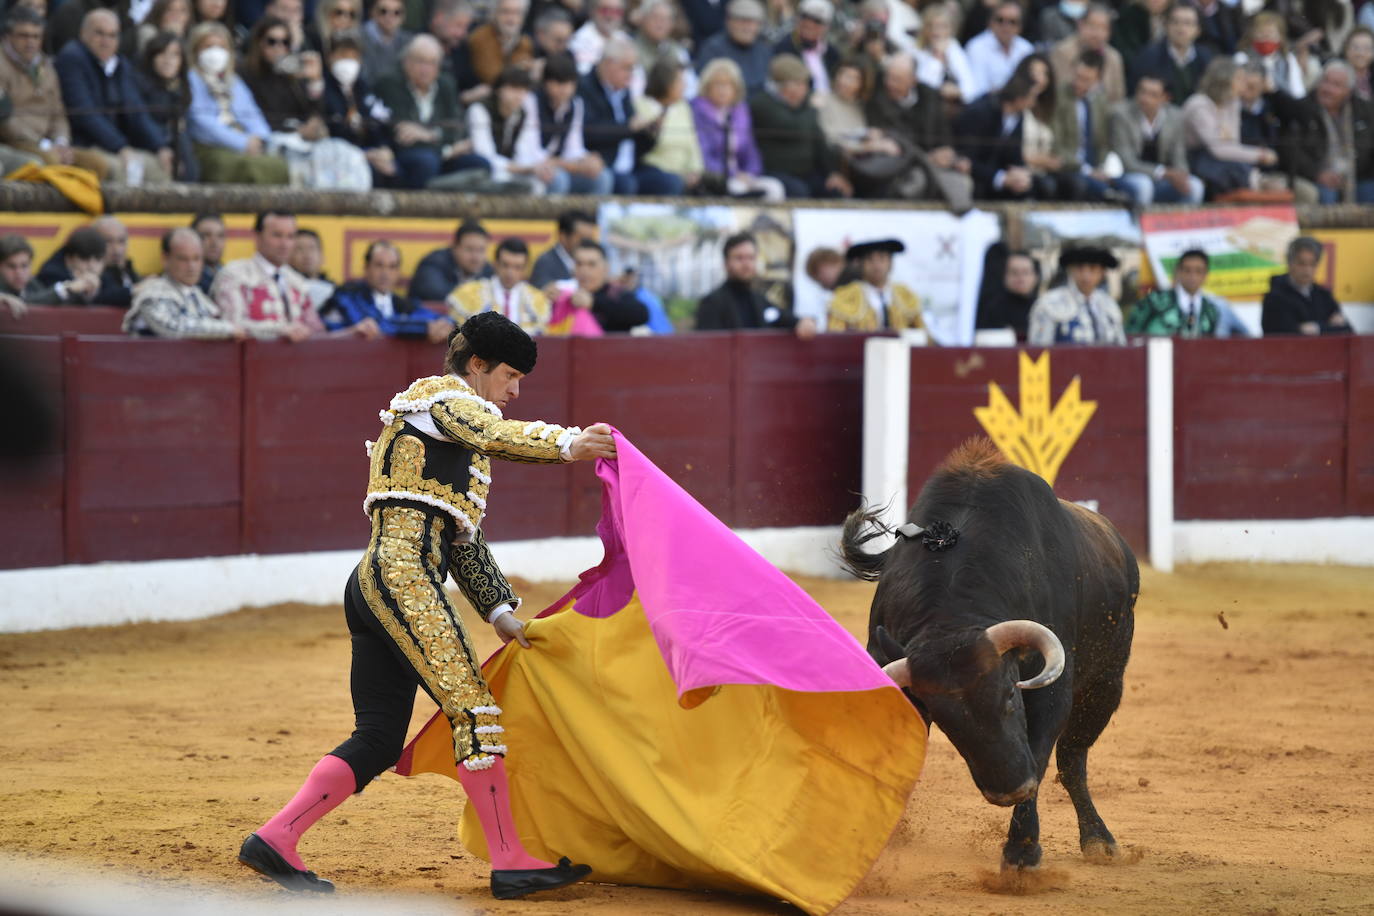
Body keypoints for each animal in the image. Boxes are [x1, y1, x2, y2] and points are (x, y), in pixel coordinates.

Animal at [835, 439, 1137, 873]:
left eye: (1010, 694)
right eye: (944, 719)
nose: (1009, 790)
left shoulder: (1052, 691)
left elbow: (1041, 756)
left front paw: (1021, 855)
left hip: (1105, 684)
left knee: (1072, 761)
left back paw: (1098, 839)